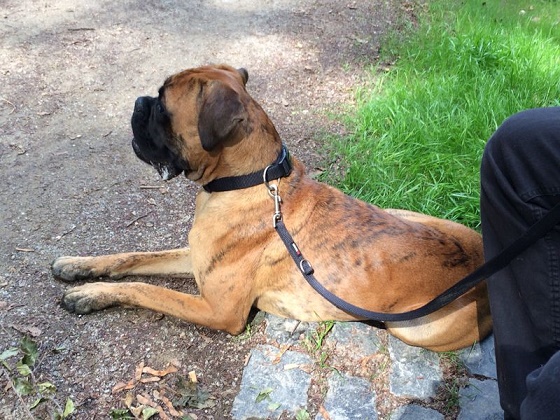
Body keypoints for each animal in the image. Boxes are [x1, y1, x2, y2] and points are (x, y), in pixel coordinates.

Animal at [52, 64, 491, 352]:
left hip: (413, 329)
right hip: (405, 214)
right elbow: (134, 257)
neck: (247, 181)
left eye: (162, 107)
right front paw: (79, 266)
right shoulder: (195, 257)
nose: (139, 102)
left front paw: (89, 295)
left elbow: (144, 288)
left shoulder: (218, 311)